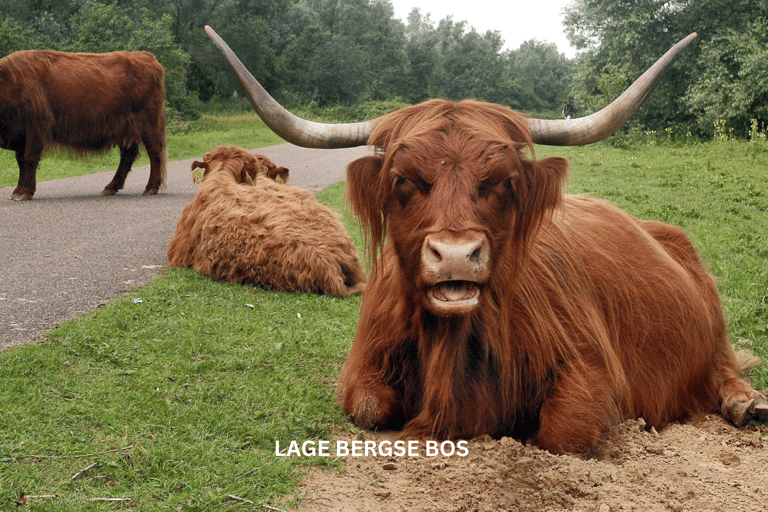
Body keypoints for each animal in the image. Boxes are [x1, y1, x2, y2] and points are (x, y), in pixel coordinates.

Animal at [0, 48, 167, 200]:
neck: (9, 80)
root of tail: (148, 57)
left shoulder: (34, 129)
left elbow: (29, 159)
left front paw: (24, 193)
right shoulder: (21, 135)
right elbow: (20, 161)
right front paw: (18, 191)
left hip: (148, 125)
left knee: (155, 152)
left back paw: (150, 188)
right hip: (125, 128)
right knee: (129, 154)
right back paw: (111, 187)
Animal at [206, 26, 768, 454]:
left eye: (503, 182)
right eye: (404, 181)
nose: (456, 255)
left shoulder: (593, 369)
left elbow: (564, 432)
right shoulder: (364, 367)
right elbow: (367, 407)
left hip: (708, 308)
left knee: (724, 362)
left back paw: (749, 403)